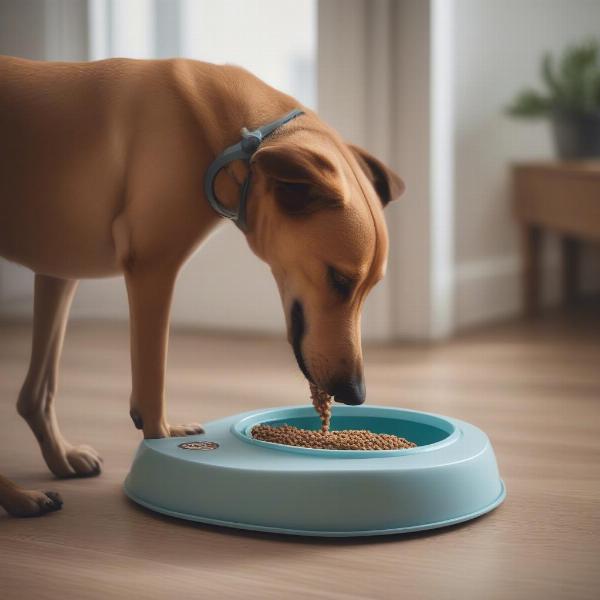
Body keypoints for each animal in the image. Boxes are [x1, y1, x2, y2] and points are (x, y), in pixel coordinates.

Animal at [1, 55, 404, 516]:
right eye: (339, 279)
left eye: (370, 287)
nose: (356, 393)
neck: (236, 135)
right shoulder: (153, 268)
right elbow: (151, 390)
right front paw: (163, 447)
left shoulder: (57, 271)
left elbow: (41, 388)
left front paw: (60, 453)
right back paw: (18, 497)